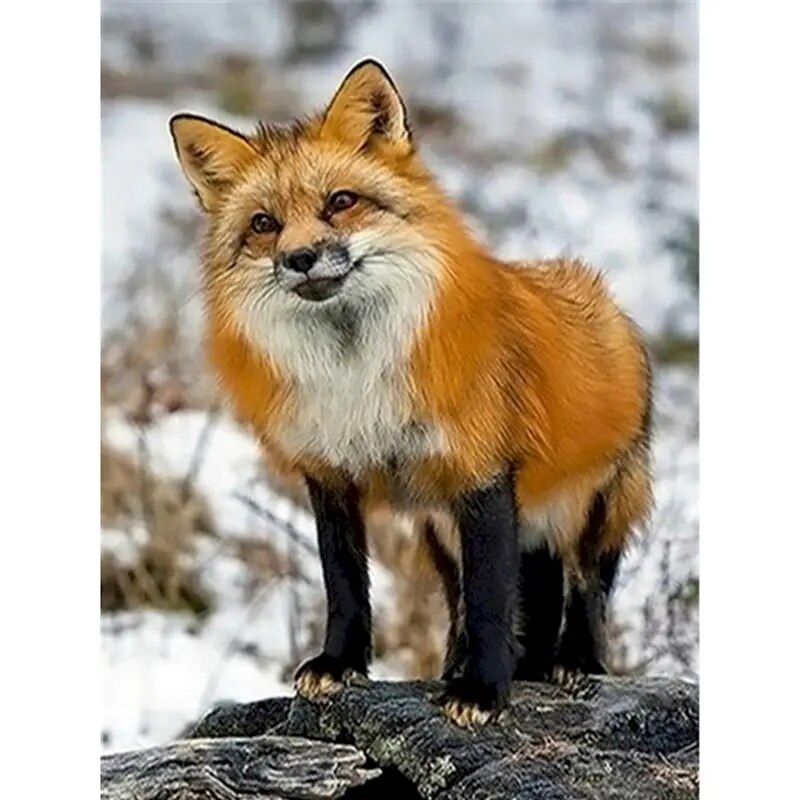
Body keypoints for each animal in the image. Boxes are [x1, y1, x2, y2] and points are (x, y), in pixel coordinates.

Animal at [169, 59, 653, 727]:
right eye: (264, 224)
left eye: (341, 202)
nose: (300, 258)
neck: (355, 373)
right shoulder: (330, 477)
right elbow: (345, 585)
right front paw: (340, 664)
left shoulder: (481, 477)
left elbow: (491, 600)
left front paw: (483, 692)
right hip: (440, 530)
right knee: (482, 600)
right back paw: (474, 667)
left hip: (596, 508)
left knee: (584, 588)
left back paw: (575, 662)